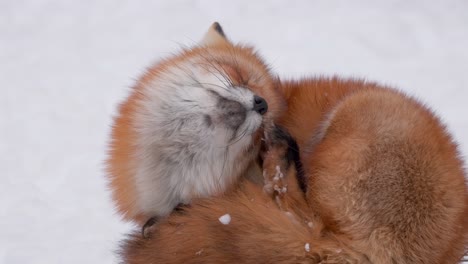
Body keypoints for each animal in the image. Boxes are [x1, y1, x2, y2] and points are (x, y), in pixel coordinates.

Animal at [111, 23, 466, 262]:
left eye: (264, 116)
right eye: (240, 76)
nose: (261, 104)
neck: (175, 177)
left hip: (346, 123)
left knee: (303, 219)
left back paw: (282, 157)